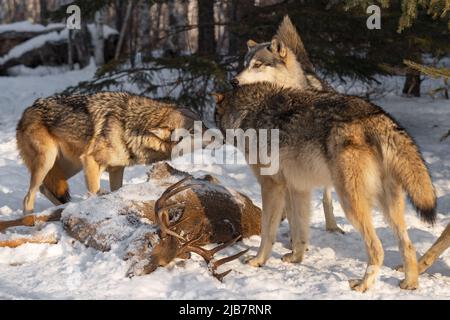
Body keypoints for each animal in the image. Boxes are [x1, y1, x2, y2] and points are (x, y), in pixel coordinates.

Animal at [16, 91, 200, 214]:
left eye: (203, 123)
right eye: (194, 130)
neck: (130, 125)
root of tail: (27, 110)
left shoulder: (116, 169)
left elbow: (116, 190)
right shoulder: (90, 161)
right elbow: (94, 192)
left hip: (70, 166)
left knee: (45, 188)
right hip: (48, 161)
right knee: (27, 198)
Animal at [214, 83, 436, 292]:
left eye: (215, 117)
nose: (212, 136)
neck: (250, 112)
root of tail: (378, 117)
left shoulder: (271, 186)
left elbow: (268, 231)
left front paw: (258, 261)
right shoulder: (297, 188)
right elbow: (299, 230)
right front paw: (296, 258)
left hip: (350, 205)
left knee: (377, 248)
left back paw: (362, 285)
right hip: (389, 209)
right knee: (408, 246)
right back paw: (410, 284)